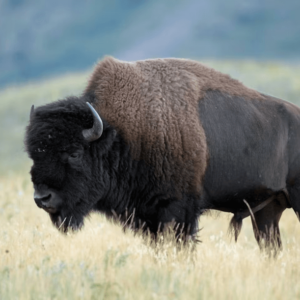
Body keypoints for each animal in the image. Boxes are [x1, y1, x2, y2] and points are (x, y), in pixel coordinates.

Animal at [25, 56, 298, 248]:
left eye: (74, 153)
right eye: (34, 155)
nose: (42, 198)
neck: (122, 133)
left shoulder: (178, 210)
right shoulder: (149, 216)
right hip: (266, 211)